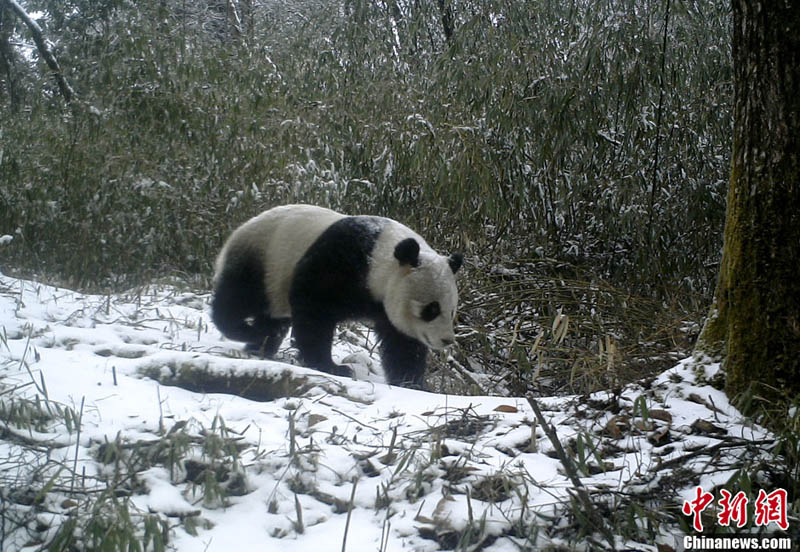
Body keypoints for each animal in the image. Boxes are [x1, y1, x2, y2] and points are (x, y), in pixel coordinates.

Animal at [212, 204, 462, 388]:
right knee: (239, 297)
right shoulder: (340, 262)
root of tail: (243, 227)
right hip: (264, 259)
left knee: (273, 319)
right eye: (431, 309)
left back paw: (260, 344)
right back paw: (245, 331)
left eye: (451, 311)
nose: (446, 340)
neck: (378, 256)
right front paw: (331, 367)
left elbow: (402, 344)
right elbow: (314, 311)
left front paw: (411, 383)